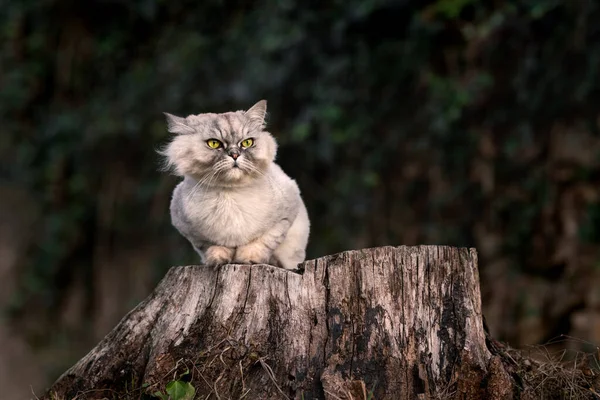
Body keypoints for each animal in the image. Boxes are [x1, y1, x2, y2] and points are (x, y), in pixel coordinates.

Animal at [159, 99, 310, 268]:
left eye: (247, 142)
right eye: (214, 144)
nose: (235, 155)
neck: (230, 195)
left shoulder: (284, 217)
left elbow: (260, 243)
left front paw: (248, 259)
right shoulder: (194, 234)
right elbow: (214, 247)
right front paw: (217, 261)